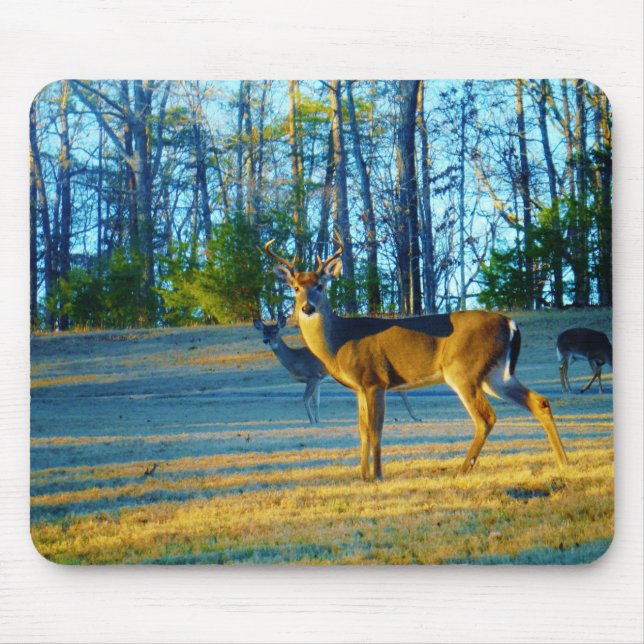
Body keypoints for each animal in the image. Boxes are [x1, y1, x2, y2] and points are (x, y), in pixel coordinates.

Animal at [253, 315, 422, 424]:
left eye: (275, 330)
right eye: (263, 331)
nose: (266, 340)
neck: (296, 360)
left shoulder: (312, 376)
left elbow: (305, 398)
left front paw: (311, 421)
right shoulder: (318, 380)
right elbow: (316, 401)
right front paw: (318, 420)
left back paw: (415, 417)